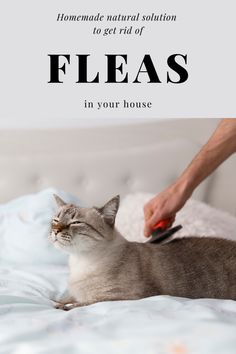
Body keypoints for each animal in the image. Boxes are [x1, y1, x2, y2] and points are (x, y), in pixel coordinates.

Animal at [49, 194, 236, 310]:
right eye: (55, 220)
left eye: (75, 222)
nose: (55, 231)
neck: (80, 261)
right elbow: (65, 299)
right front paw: (57, 301)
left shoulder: (118, 297)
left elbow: (77, 304)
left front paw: (62, 306)